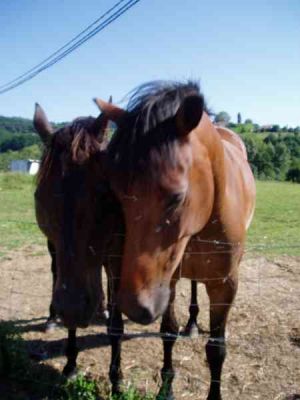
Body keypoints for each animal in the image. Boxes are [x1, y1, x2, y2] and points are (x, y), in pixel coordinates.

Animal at [96, 81, 255, 400]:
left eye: (176, 197)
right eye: (117, 193)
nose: (134, 306)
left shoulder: (225, 286)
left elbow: (216, 349)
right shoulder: (167, 279)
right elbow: (168, 332)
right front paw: (166, 389)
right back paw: (192, 323)